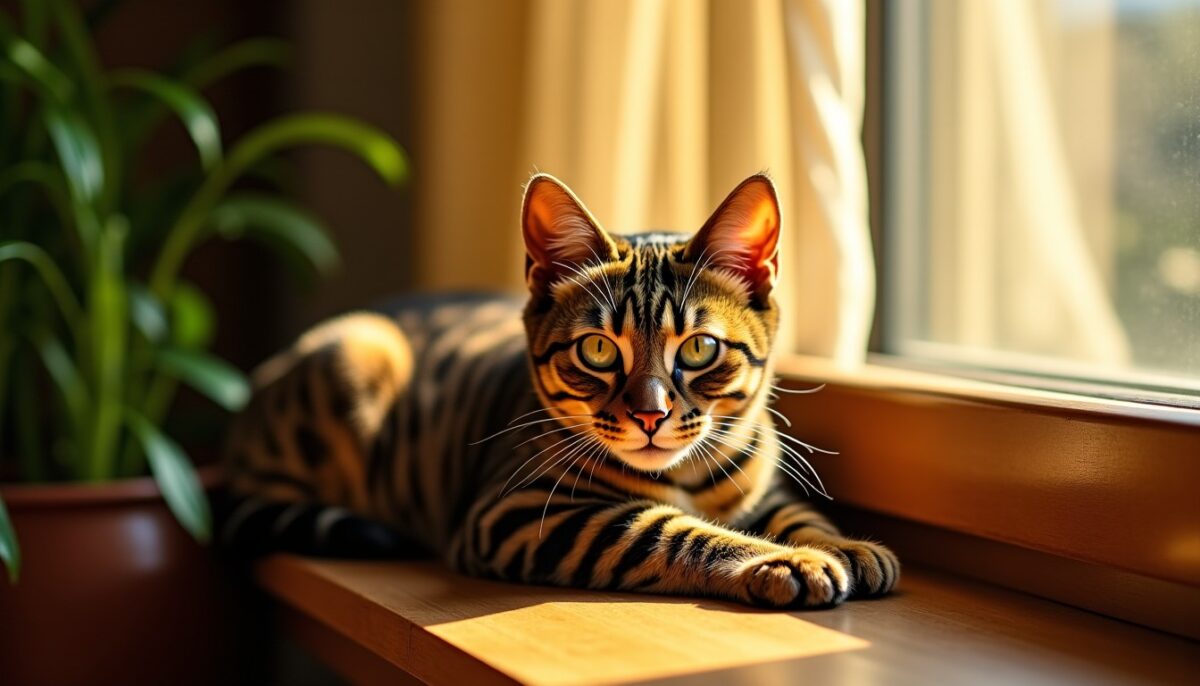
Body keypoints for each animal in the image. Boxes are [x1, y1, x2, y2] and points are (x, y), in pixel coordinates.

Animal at [222, 172, 899, 609]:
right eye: (597, 350)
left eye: (699, 349)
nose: (651, 415)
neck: (684, 476)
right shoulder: (519, 511)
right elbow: (673, 532)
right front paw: (785, 559)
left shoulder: (763, 484)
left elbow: (798, 512)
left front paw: (845, 545)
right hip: (356, 353)